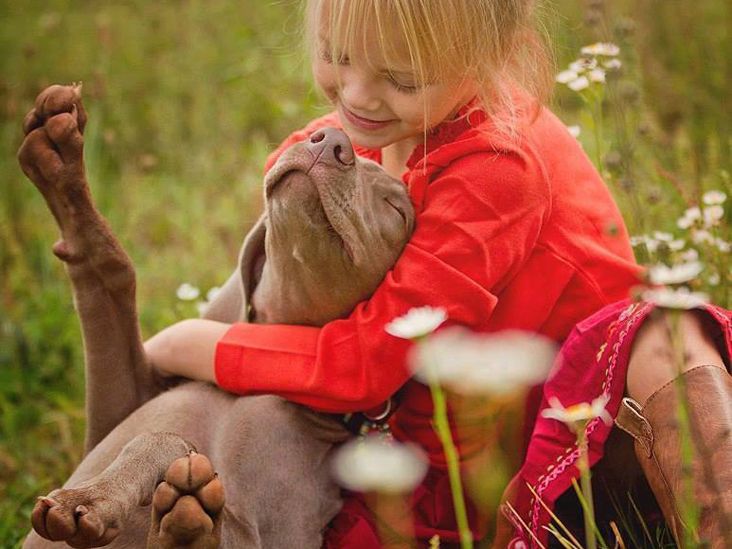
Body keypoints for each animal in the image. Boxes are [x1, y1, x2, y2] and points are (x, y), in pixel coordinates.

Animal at [18, 85, 418, 548]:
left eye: (395, 209)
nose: (332, 140)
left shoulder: (283, 533)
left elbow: (172, 442)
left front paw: (112, 501)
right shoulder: (108, 416)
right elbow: (108, 271)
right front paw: (59, 161)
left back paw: (184, 517)